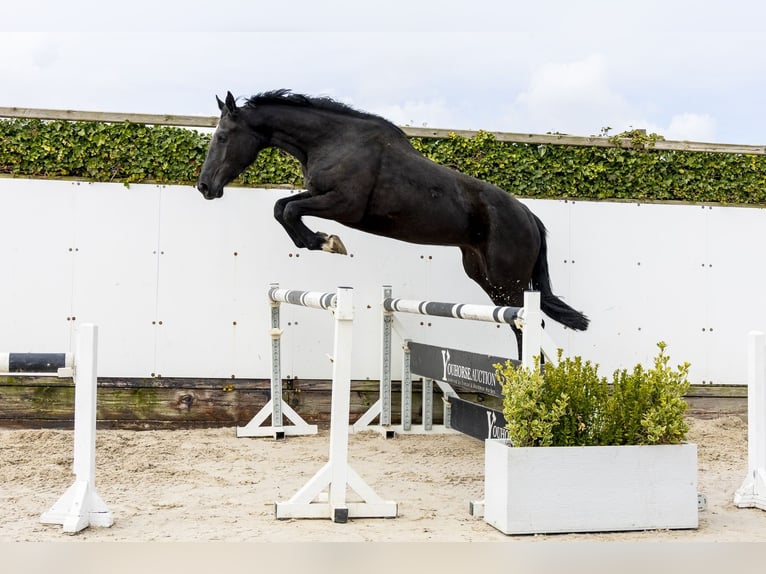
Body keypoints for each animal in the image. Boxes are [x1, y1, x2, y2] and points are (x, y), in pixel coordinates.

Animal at [197, 90, 589, 356]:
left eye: (222, 137)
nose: (204, 187)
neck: (332, 140)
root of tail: (529, 216)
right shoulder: (320, 195)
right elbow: (282, 207)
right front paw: (321, 241)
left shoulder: (343, 205)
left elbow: (289, 210)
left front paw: (327, 242)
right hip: (484, 276)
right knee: (520, 322)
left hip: (509, 281)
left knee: (527, 323)